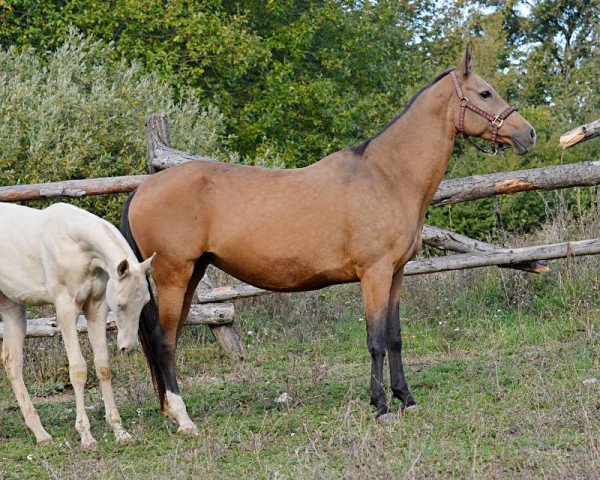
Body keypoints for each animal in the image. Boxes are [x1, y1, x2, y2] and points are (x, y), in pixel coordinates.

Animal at [0, 202, 157, 450]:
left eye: (145, 302)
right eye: (121, 305)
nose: (128, 346)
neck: (77, 246)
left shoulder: (96, 308)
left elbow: (103, 366)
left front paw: (119, 430)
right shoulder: (65, 308)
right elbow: (78, 370)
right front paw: (86, 436)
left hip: (12, 307)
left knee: (12, 362)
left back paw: (41, 434)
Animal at [120, 47, 536, 434]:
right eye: (485, 93)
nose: (528, 133)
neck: (387, 176)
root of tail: (143, 189)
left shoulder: (396, 274)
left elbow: (395, 337)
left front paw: (406, 398)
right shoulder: (374, 274)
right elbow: (376, 339)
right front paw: (381, 405)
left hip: (191, 275)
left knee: (168, 341)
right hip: (174, 276)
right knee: (164, 342)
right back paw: (183, 418)